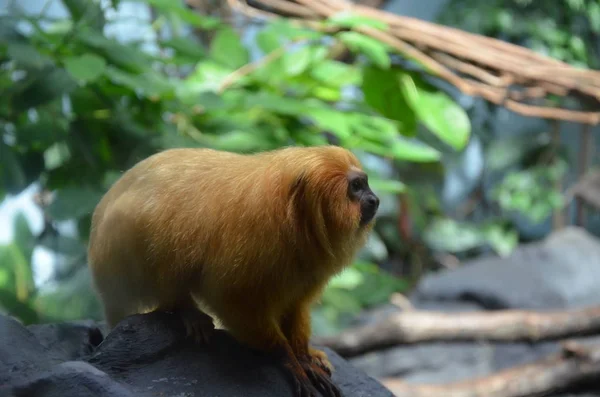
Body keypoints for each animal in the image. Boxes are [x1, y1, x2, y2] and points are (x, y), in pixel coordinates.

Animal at [86, 145, 380, 396]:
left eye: (365, 183)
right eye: (356, 187)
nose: (375, 200)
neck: (296, 221)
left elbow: (294, 305)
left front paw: (304, 355)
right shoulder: (251, 244)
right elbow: (232, 299)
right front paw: (286, 358)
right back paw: (183, 308)